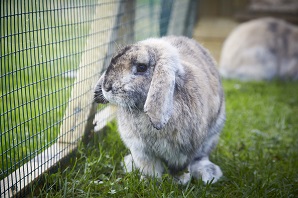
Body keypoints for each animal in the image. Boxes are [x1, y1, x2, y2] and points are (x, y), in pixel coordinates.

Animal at [94, 35, 225, 184]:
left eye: (141, 67)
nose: (106, 87)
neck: (140, 109)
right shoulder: (141, 150)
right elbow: (149, 167)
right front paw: (148, 181)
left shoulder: (184, 152)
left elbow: (181, 168)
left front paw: (180, 181)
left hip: (211, 137)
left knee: (201, 157)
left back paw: (209, 173)